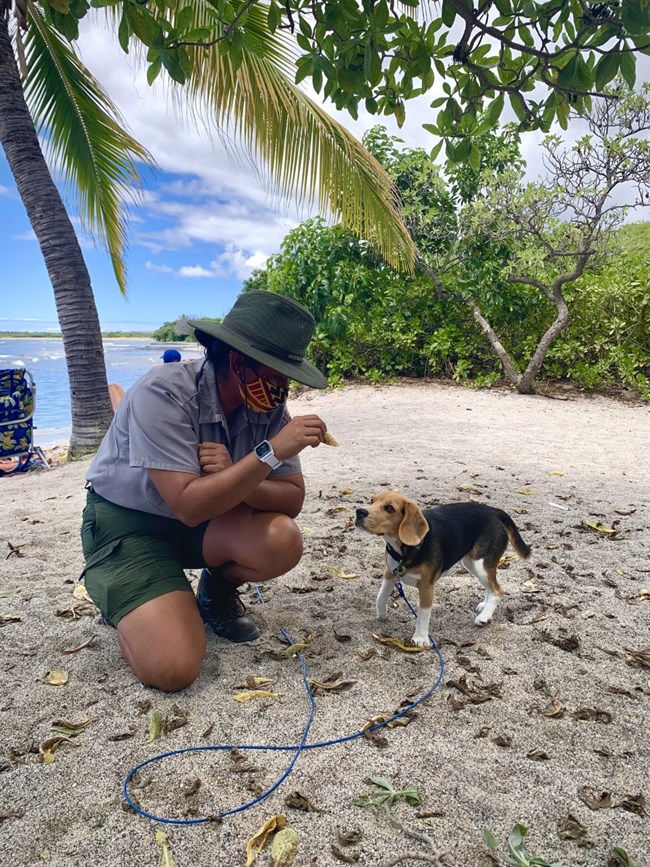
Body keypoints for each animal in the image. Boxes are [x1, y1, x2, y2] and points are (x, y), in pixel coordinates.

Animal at [354, 496, 532, 644]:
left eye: (389, 508)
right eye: (372, 500)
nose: (359, 512)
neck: (407, 549)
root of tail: (494, 511)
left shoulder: (427, 587)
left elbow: (423, 615)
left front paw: (420, 638)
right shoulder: (391, 572)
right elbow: (380, 596)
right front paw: (382, 615)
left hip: (480, 564)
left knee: (498, 590)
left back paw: (484, 617)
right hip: (471, 563)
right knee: (491, 586)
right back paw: (484, 607)